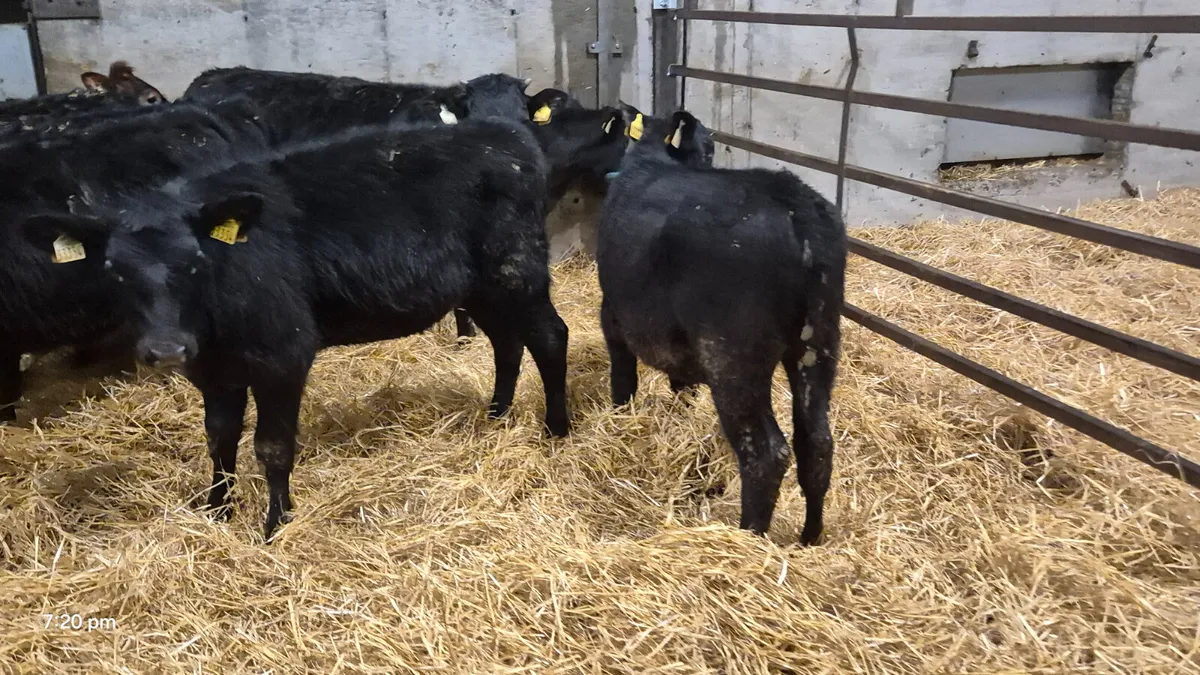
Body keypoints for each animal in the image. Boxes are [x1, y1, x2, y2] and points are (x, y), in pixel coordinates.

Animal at [596, 106, 847, 546]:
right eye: (709, 147)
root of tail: (796, 205)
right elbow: (681, 387)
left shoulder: (613, 320)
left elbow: (622, 385)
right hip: (818, 343)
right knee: (816, 442)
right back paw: (809, 538)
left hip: (733, 355)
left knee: (765, 453)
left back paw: (749, 537)